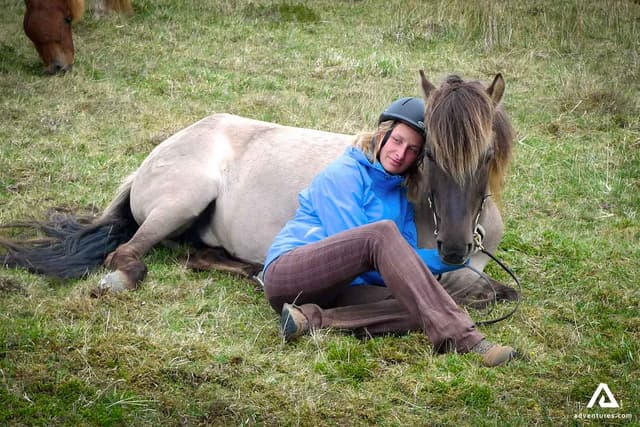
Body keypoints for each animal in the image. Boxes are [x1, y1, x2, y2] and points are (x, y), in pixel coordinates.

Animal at [0, 71, 519, 308]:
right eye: (429, 154)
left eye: (488, 154)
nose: (453, 248)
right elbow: (467, 287)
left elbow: (498, 288)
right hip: (181, 201)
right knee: (126, 254)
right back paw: (121, 278)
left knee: (197, 255)